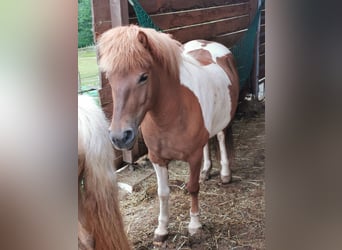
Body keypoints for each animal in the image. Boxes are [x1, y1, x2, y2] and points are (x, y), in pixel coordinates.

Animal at [97, 25, 239, 246]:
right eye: (110, 78)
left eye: (143, 76)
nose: (120, 137)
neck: (172, 113)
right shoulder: (157, 158)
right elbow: (162, 193)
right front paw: (161, 230)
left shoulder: (193, 157)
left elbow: (192, 187)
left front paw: (195, 226)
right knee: (208, 142)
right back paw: (207, 171)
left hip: (225, 121)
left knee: (221, 138)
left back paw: (225, 174)